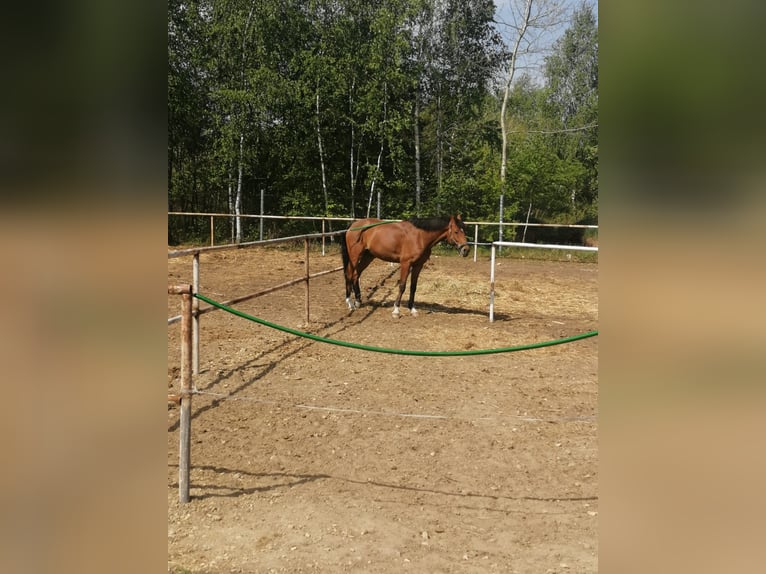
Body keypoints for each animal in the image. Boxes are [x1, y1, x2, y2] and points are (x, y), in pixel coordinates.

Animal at [344, 215, 474, 318]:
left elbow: (413, 287)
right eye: (456, 231)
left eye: (464, 230)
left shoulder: (418, 265)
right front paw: (396, 311)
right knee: (349, 274)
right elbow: (402, 286)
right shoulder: (405, 264)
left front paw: (412, 309)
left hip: (368, 257)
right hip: (354, 257)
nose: (466, 250)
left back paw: (358, 302)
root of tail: (353, 225)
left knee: (356, 275)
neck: (420, 236)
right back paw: (350, 303)